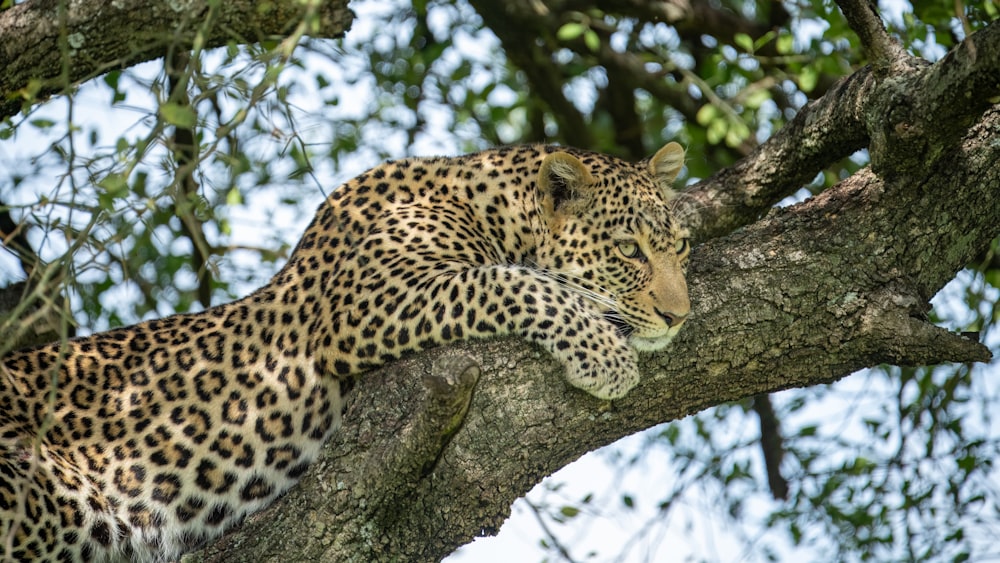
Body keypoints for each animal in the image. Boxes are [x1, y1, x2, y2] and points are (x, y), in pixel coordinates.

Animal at [0, 143, 692, 560]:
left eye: (681, 246)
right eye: (628, 250)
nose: (679, 315)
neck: (491, 204)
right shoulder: (369, 298)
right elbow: (508, 280)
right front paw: (604, 354)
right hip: (48, 495)